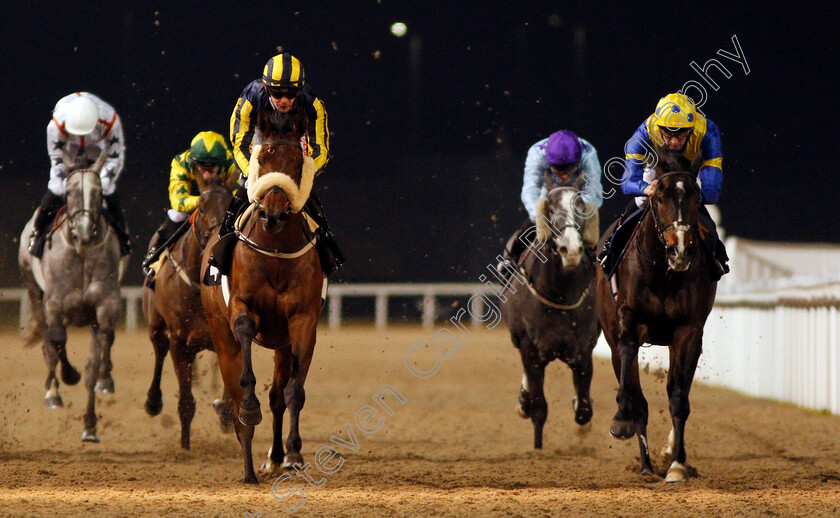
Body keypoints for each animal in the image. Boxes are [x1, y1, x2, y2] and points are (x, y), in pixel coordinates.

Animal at [17, 165, 124, 444]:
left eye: (98, 192)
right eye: (70, 192)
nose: (84, 232)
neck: (81, 253)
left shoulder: (106, 305)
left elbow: (99, 355)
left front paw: (103, 384)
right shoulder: (54, 306)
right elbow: (57, 343)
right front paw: (69, 376)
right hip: (34, 293)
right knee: (48, 346)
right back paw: (52, 394)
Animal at [141, 186, 233, 450]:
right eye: (201, 207)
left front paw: (225, 414)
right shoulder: (179, 342)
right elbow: (186, 403)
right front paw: (185, 446)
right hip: (155, 322)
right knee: (159, 348)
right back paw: (153, 402)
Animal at [200, 107, 324, 486]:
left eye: (297, 162)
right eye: (263, 158)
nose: (273, 214)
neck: (275, 250)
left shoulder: (302, 320)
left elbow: (293, 391)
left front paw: (293, 453)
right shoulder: (242, 307)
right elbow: (243, 341)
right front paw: (249, 407)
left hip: (281, 342)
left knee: (278, 397)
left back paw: (275, 457)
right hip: (218, 331)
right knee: (236, 394)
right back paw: (248, 468)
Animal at [502, 175, 600, 450]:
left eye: (580, 206)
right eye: (553, 208)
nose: (571, 249)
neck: (559, 293)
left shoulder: (582, 350)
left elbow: (584, 408)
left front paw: (580, 414)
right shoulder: (531, 350)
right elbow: (539, 407)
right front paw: (538, 447)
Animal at [596, 149, 716, 484]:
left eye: (696, 196)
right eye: (659, 197)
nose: (680, 251)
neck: (663, 272)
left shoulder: (688, 331)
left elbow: (678, 397)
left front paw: (676, 465)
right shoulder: (628, 322)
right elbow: (633, 387)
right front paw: (621, 420)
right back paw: (646, 465)